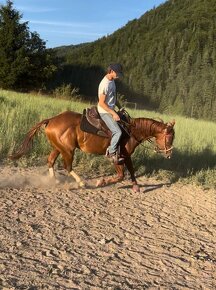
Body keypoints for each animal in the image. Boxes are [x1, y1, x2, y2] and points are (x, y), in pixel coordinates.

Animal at [10, 110, 176, 191]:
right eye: (169, 137)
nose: (169, 153)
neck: (130, 131)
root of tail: (51, 120)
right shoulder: (116, 157)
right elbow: (121, 176)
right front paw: (100, 182)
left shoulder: (126, 155)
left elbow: (131, 170)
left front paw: (136, 187)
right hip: (67, 150)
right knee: (67, 166)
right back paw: (81, 183)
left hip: (58, 148)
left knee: (50, 161)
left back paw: (53, 181)